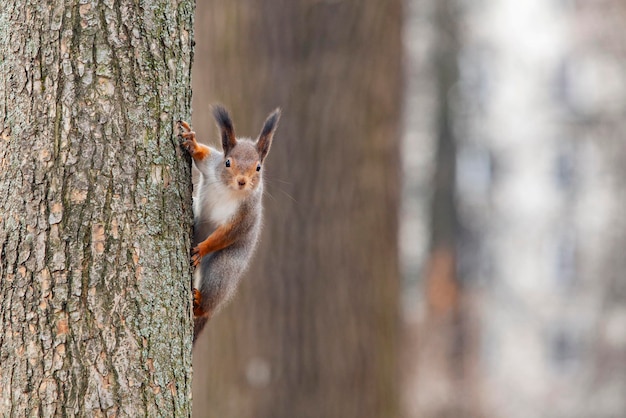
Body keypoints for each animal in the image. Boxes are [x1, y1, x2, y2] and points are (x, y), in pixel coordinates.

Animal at [178, 106, 280, 344]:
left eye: (258, 168)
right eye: (227, 163)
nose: (242, 181)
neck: (230, 191)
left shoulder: (246, 215)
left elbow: (227, 234)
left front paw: (202, 248)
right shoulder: (212, 166)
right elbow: (202, 157)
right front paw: (192, 142)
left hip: (224, 269)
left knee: (210, 300)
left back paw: (199, 302)